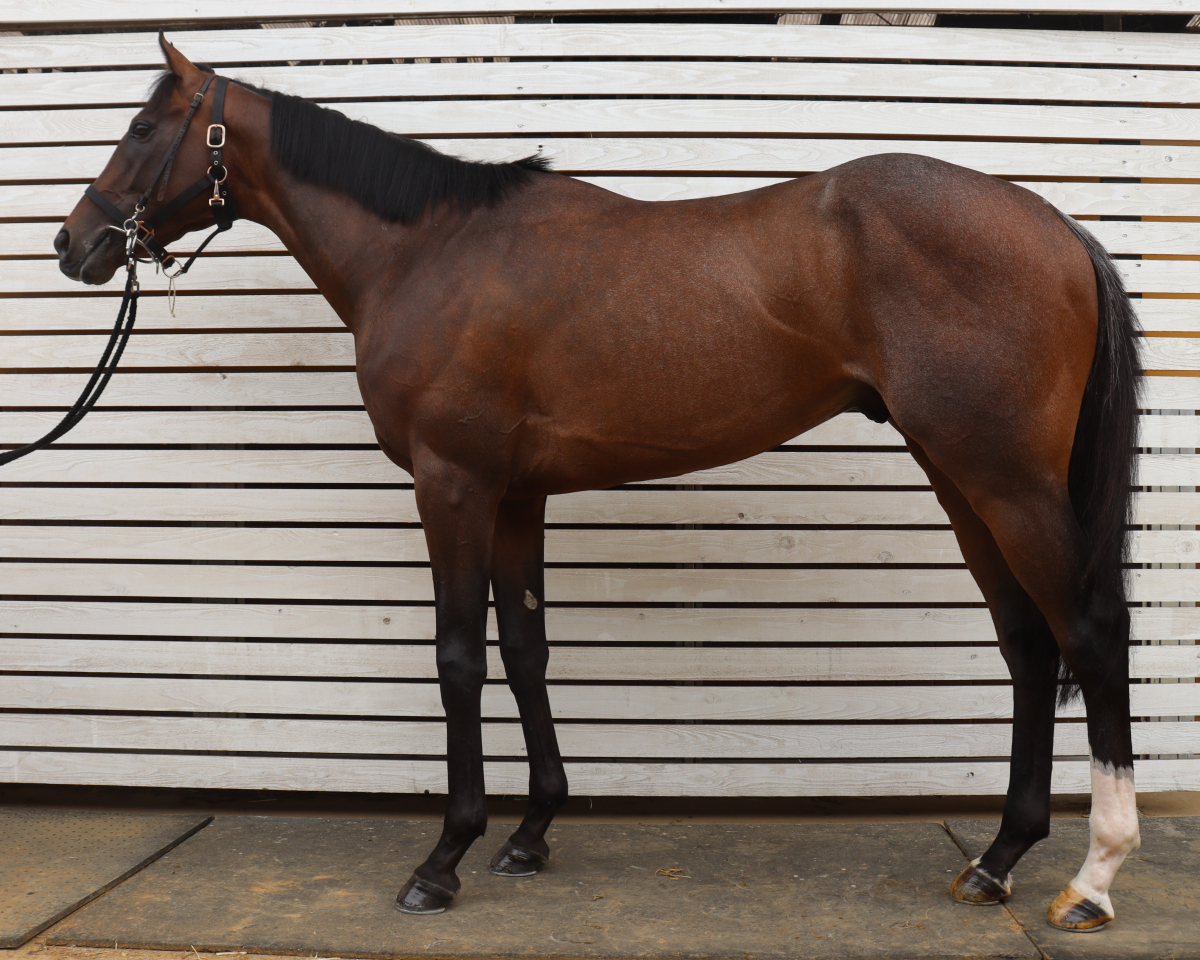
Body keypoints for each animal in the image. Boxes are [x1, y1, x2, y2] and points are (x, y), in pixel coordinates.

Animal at [54, 37, 1141, 932]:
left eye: (143, 127)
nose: (75, 244)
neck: (429, 251)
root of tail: (1051, 223)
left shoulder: (452, 486)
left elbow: (459, 659)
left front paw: (443, 859)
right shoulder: (514, 495)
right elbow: (526, 650)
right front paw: (529, 835)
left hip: (1004, 479)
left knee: (1087, 632)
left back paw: (1093, 880)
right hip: (963, 479)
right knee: (1029, 644)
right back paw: (998, 860)